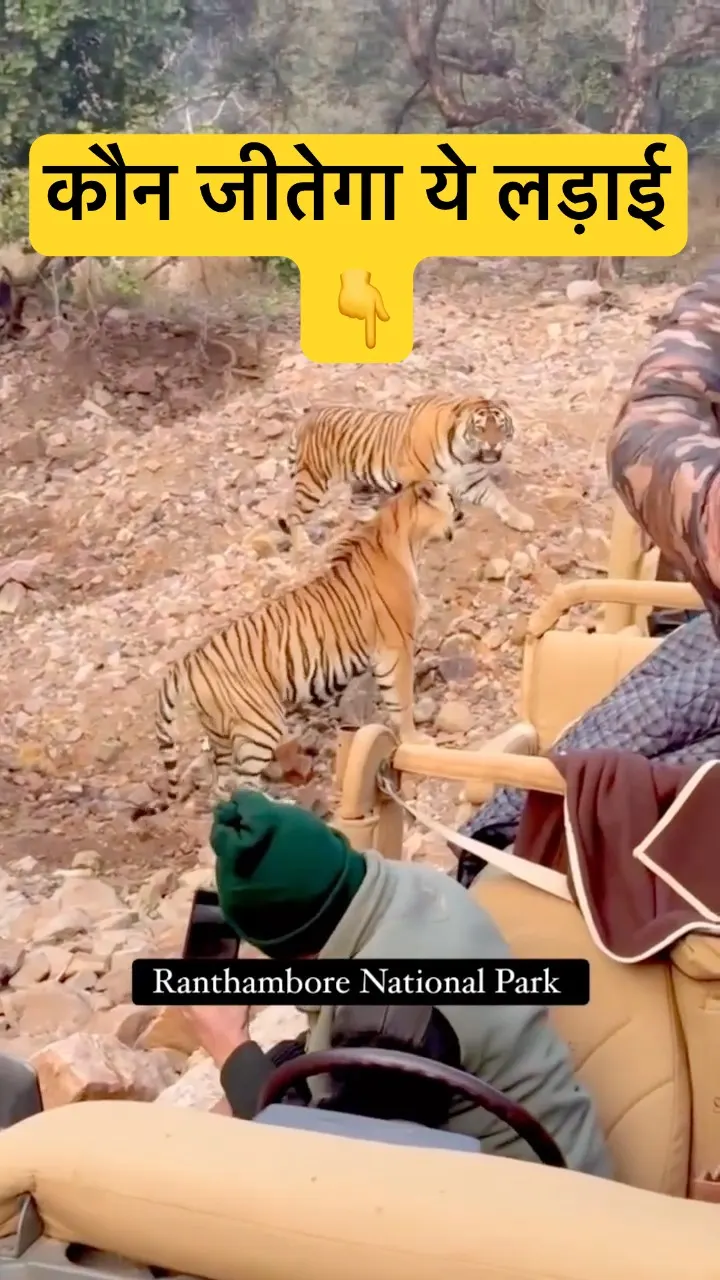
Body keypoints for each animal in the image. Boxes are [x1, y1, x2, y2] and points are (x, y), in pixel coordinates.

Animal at [133, 481, 463, 818]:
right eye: (450, 497)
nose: (461, 512)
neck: (404, 535)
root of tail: (187, 661)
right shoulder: (396, 648)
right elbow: (402, 700)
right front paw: (416, 739)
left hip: (221, 736)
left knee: (222, 785)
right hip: (259, 725)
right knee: (243, 782)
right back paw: (280, 807)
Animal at [277, 392, 534, 553]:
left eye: (500, 426)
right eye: (480, 429)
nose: (493, 444)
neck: (464, 454)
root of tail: (304, 418)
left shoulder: (473, 482)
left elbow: (500, 498)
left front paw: (520, 519)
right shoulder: (415, 477)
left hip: (362, 483)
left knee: (356, 506)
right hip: (312, 481)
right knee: (293, 511)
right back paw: (303, 545)